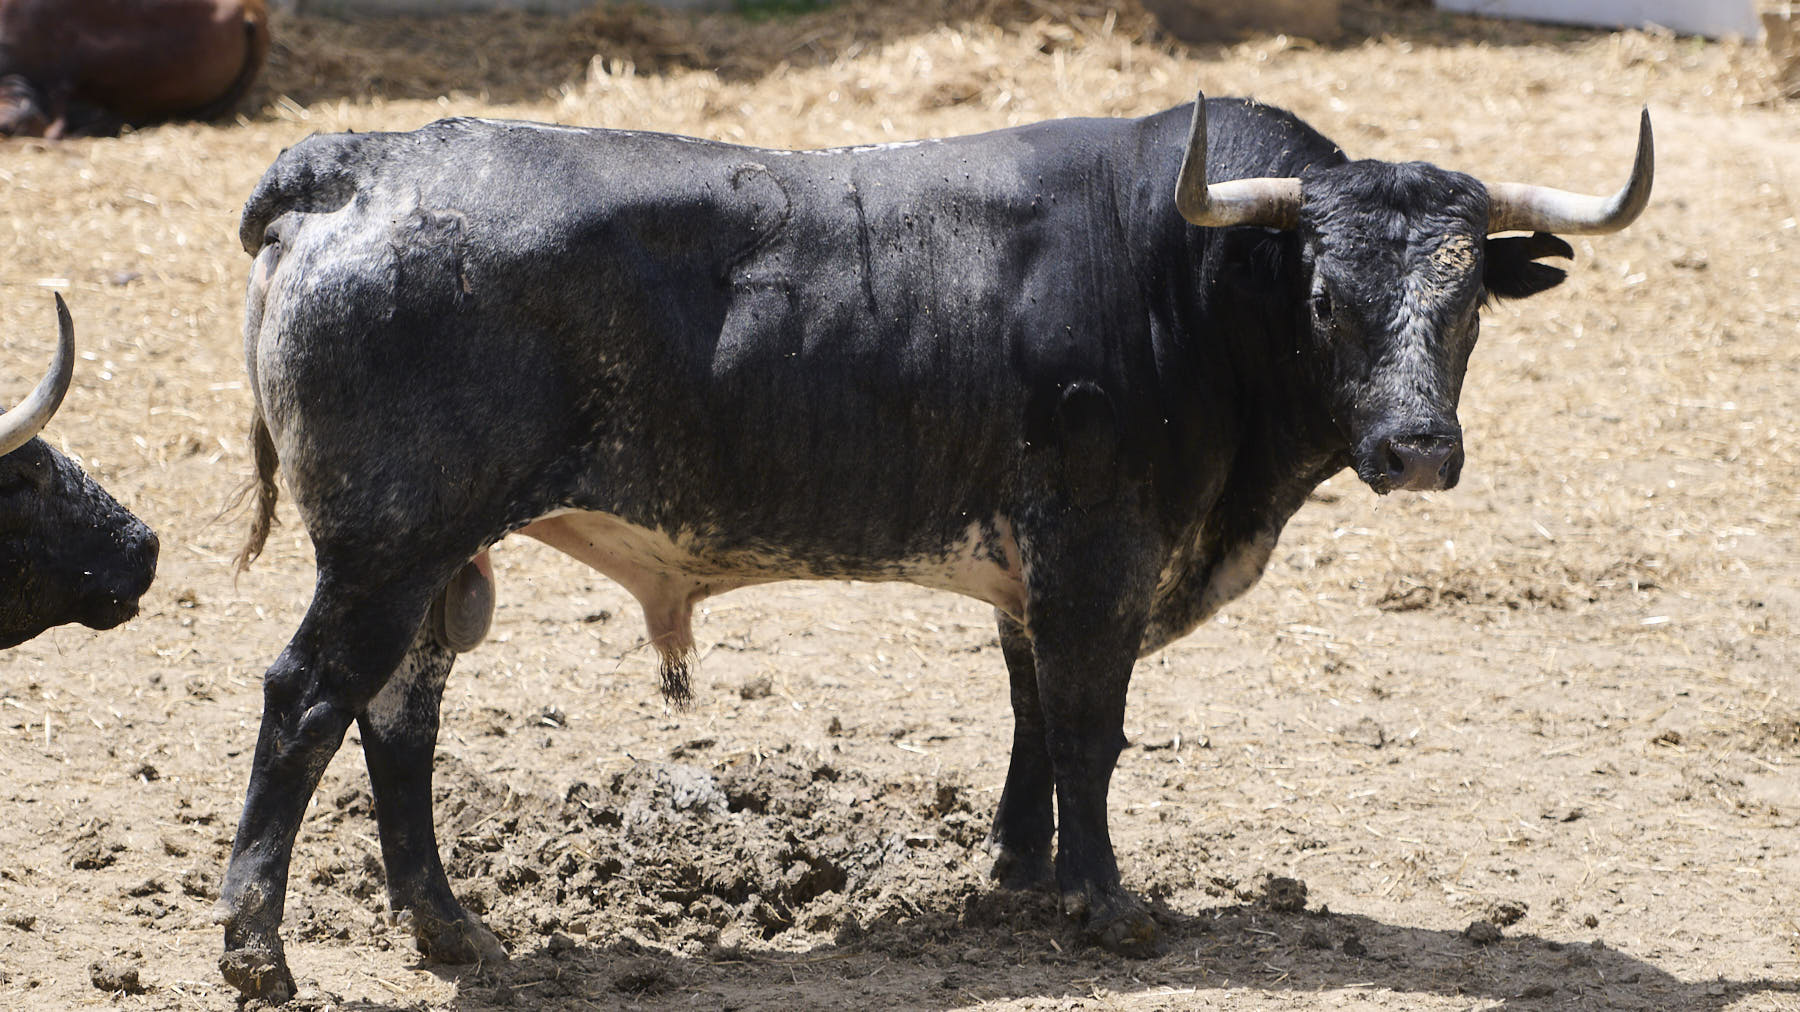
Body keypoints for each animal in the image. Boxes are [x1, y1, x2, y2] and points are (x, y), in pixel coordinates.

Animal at [217, 96, 1648, 1001]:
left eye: (1466, 304)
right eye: (1325, 297)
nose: (1415, 447)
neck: (1178, 285)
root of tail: (354, 165)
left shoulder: (1032, 566)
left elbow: (1029, 714)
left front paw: (1015, 875)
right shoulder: (1097, 549)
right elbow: (1087, 726)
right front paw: (1106, 904)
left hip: (429, 561)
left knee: (400, 714)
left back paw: (449, 926)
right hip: (385, 549)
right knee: (307, 702)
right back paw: (259, 952)